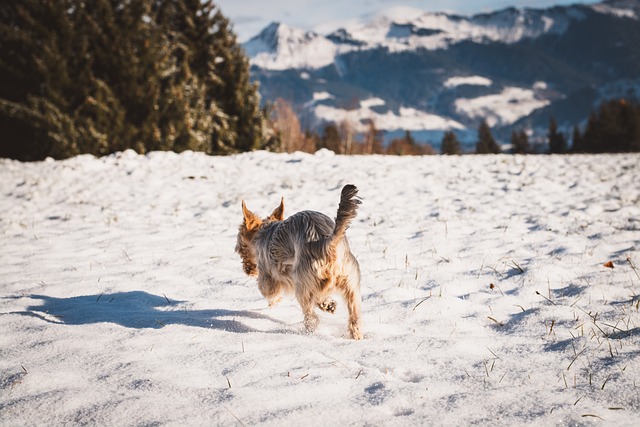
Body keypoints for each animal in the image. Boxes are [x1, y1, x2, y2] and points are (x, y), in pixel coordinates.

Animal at [236, 186, 364, 340]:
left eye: (241, 248)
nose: (247, 270)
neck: (265, 230)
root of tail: (326, 244)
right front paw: (328, 304)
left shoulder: (268, 275)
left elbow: (270, 293)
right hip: (350, 281)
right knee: (354, 314)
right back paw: (354, 334)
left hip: (303, 282)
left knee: (311, 313)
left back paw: (310, 327)